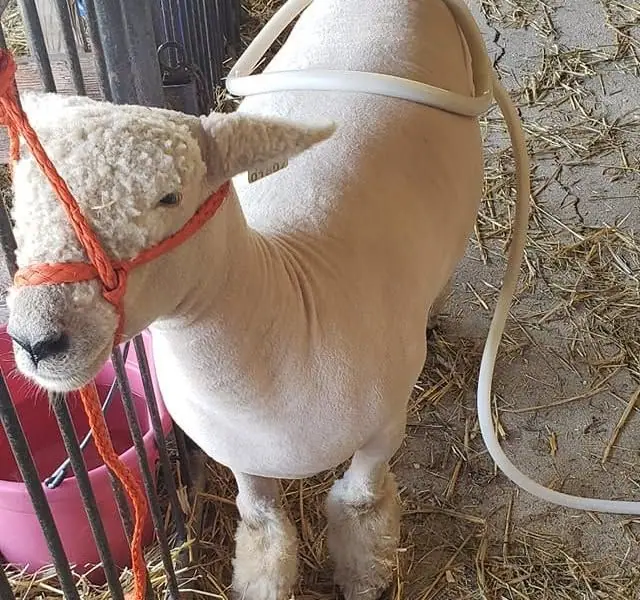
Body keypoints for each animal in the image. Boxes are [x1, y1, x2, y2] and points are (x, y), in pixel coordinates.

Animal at [5, 0, 484, 598]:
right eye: (19, 198)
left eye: (170, 196)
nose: (35, 340)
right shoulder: (240, 453)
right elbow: (262, 528)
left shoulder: (384, 428)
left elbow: (362, 506)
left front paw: (364, 580)